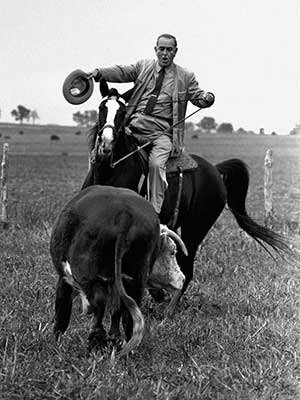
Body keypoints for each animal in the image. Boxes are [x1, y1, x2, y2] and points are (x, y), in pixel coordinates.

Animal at [82, 79, 290, 316]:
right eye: (101, 108)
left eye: (122, 112)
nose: (106, 144)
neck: (112, 171)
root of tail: (214, 169)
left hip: (196, 228)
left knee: (186, 268)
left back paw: (168, 308)